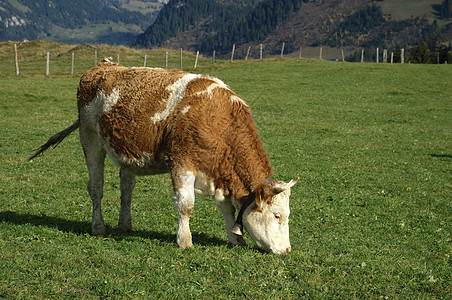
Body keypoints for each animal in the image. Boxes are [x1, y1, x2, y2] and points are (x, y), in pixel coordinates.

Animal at [28, 59, 296, 255]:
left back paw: (125, 225)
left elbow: (227, 209)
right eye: (277, 215)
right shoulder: (181, 163)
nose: (286, 250)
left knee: (126, 190)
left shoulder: (217, 172)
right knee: (96, 187)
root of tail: (102, 66)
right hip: (90, 139)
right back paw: (98, 227)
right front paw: (184, 241)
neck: (217, 119)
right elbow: (186, 205)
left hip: (127, 154)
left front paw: (235, 239)